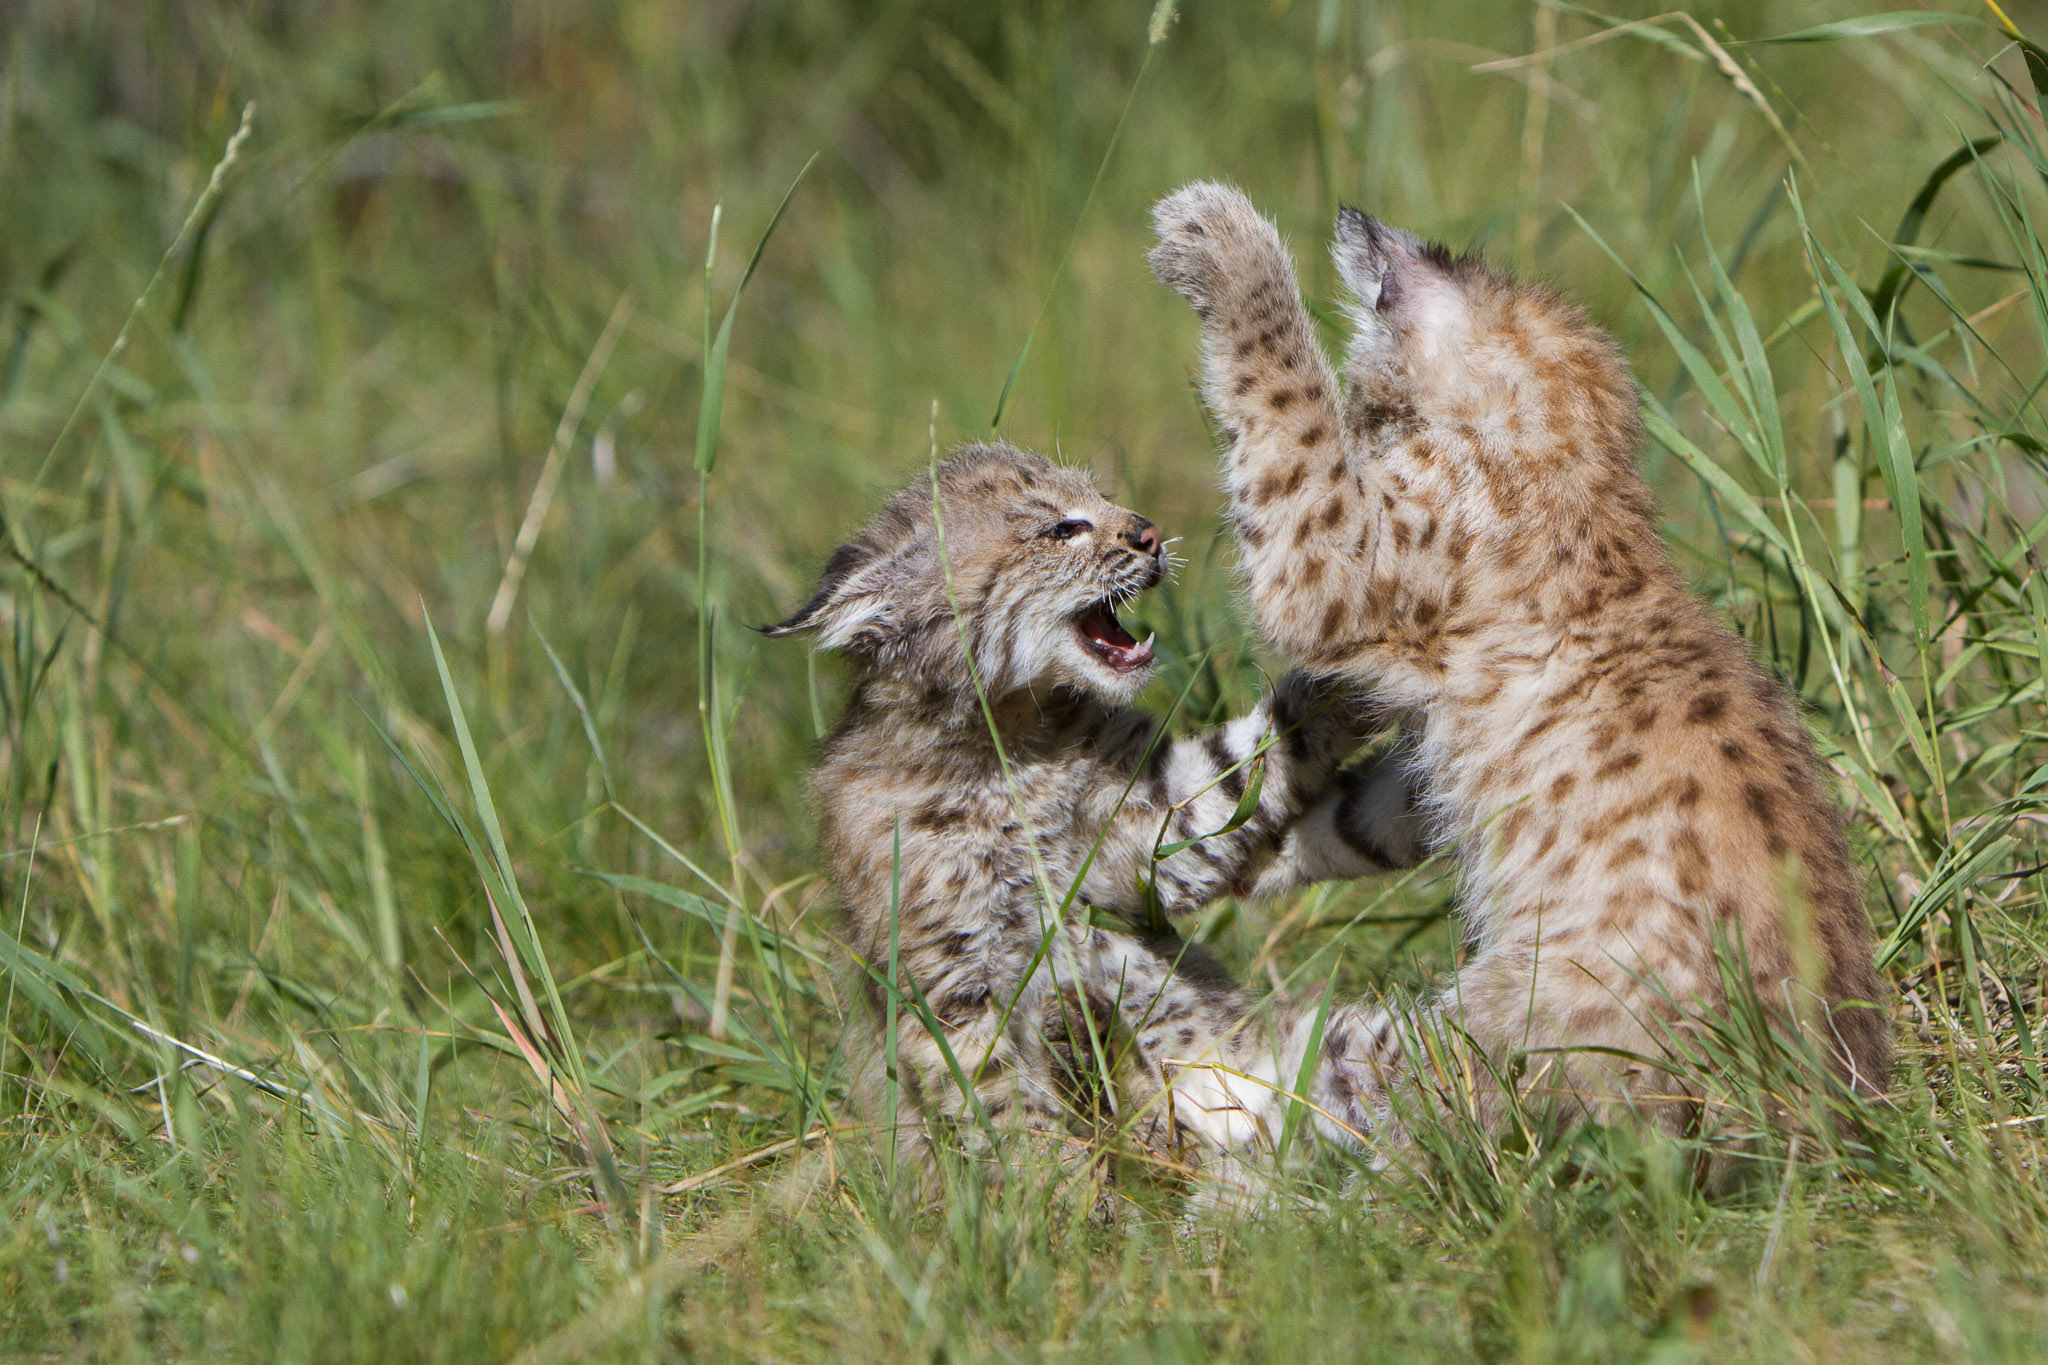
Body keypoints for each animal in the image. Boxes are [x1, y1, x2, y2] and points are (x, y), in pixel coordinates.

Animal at [770, 446, 1425, 1186]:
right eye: (1062, 529)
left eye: (1105, 498)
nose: (1148, 532)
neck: (1009, 744)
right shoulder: (948, 983)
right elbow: (1005, 1108)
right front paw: (1056, 1198)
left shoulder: (1147, 841)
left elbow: (1247, 758)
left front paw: (1354, 664)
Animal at [1155, 175, 1884, 1146]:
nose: (1356, 216)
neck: (1587, 472)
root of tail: (1833, 1114)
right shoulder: (1425, 761)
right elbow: (1360, 816)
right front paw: (1237, 859)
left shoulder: (1329, 556)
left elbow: (1286, 401)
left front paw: (1225, 241)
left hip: (1501, 1025)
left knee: (1374, 1107)